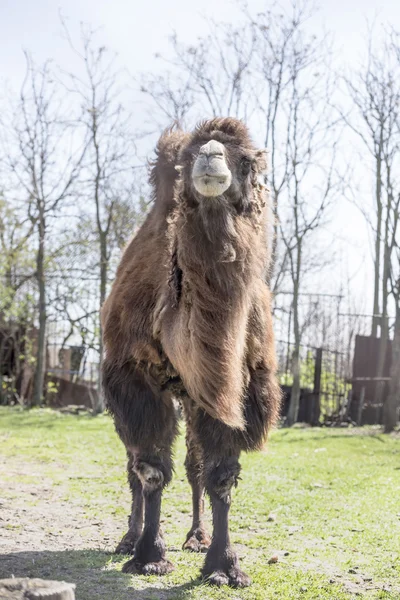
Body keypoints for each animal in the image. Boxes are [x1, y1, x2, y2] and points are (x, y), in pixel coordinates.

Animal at [101, 117, 280, 584]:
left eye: (246, 158)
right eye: (189, 155)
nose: (211, 157)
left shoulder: (237, 389)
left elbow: (219, 476)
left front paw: (223, 566)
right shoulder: (134, 379)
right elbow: (149, 470)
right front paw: (149, 555)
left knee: (193, 467)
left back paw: (196, 537)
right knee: (133, 466)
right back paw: (129, 538)